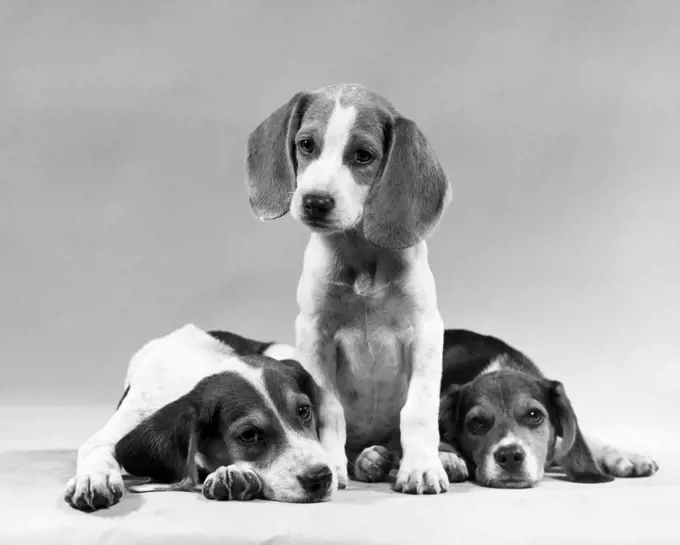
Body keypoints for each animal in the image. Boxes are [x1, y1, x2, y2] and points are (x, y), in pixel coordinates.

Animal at [64, 324, 332, 510]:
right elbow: (96, 450)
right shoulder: (116, 428)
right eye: (249, 435)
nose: (321, 477)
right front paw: (93, 479)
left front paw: (233, 474)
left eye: (304, 411)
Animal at [247, 83, 454, 496]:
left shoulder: (426, 331)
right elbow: (329, 409)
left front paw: (422, 467)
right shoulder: (315, 333)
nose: (315, 201)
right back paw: (368, 460)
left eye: (363, 155)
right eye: (306, 144)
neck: (362, 257)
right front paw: (331, 463)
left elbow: (419, 410)